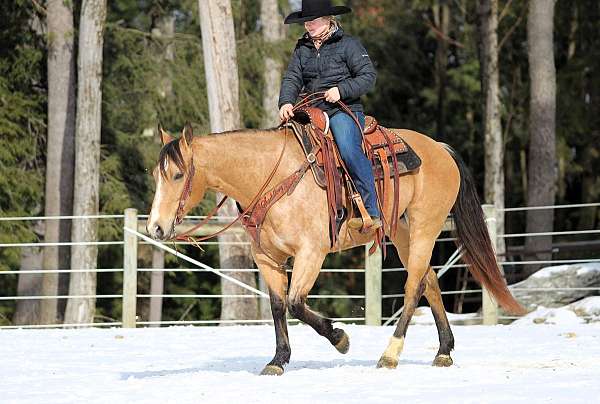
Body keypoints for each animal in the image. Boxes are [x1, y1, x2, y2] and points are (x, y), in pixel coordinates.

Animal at [146, 111, 524, 376]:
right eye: (155, 175)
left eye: (177, 174)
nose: (156, 228)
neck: (272, 176)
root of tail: (440, 149)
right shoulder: (267, 259)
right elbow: (279, 307)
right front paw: (278, 360)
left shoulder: (311, 253)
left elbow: (296, 304)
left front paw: (340, 339)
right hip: (402, 234)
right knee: (429, 281)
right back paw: (444, 351)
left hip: (424, 229)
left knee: (413, 287)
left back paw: (390, 354)